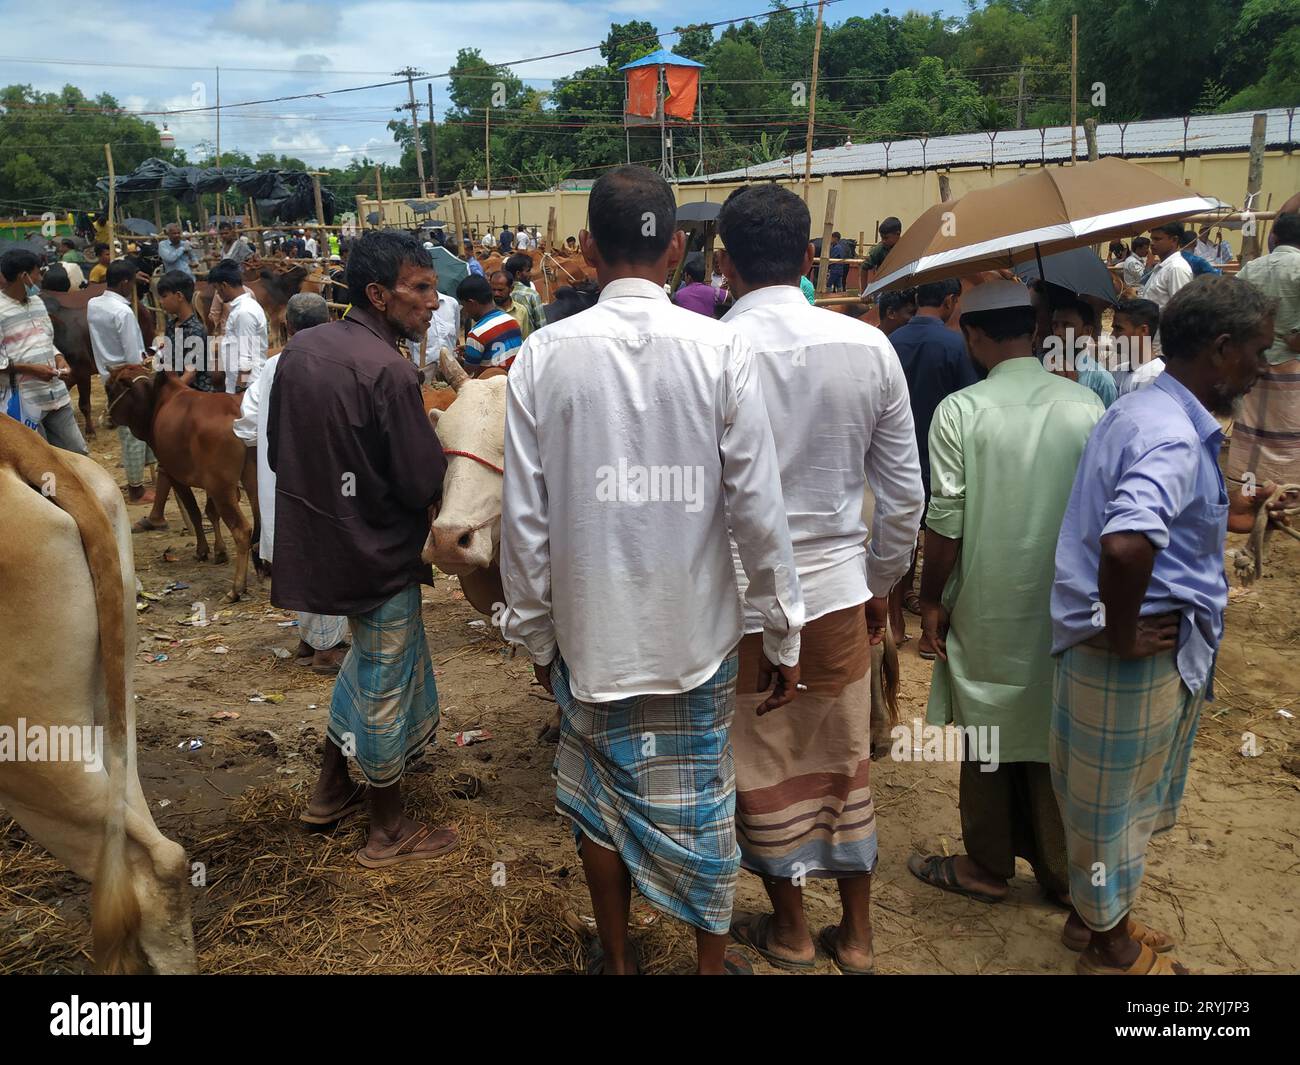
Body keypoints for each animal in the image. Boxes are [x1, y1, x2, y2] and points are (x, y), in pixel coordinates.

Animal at [107, 366, 260, 600]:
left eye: (109, 388)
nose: (107, 419)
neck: (157, 399)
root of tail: (237, 411)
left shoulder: (175, 474)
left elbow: (195, 512)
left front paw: (202, 550)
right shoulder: (212, 484)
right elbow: (210, 512)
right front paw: (220, 551)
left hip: (222, 488)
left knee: (242, 530)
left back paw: (236, 589)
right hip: (250, 480)